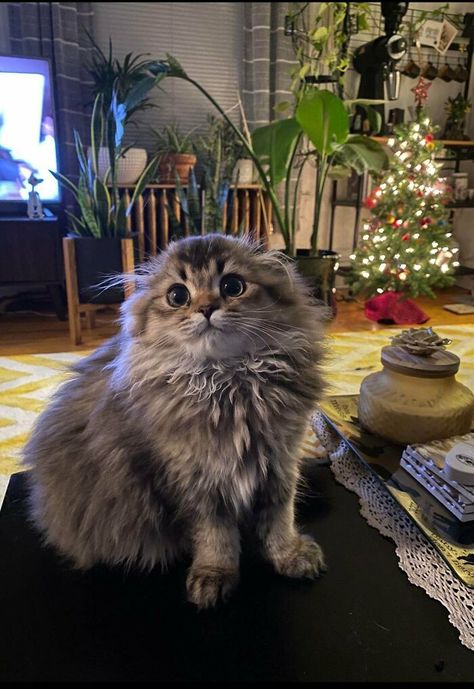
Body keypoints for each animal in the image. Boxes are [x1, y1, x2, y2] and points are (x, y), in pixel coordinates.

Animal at [24, 235, 328, 608]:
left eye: (232, 286)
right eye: (177, 296)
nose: (206, 308)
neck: (227, 384)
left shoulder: (281, 461)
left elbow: (280, 518)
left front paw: (290, 555)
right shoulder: (192, 479)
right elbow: (214, 535)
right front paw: (214, 574)